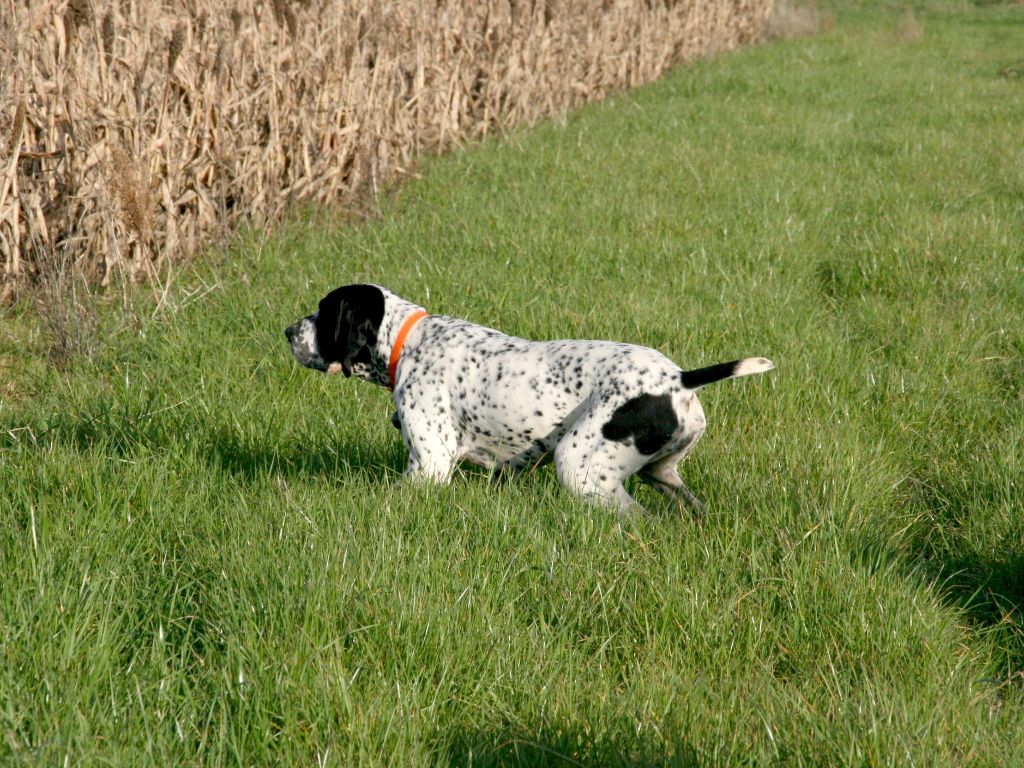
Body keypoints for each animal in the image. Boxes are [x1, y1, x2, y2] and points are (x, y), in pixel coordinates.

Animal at [284, 286, 770, 518]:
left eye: (324, 312)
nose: (287, 331)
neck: (409, 342)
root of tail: (678, 379)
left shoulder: (429, 466)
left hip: (580, 468)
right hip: (662, 474)